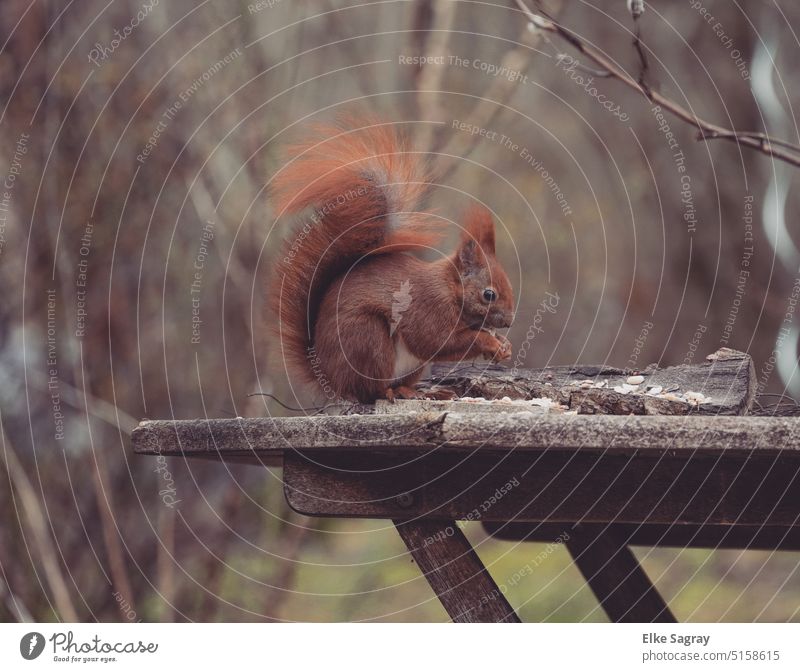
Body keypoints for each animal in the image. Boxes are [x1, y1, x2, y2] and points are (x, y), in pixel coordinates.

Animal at [268, 117, 516, 402]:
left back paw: (416, 391)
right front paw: (491, 342)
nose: (509, 323)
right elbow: (435, 340)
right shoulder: (427, 307)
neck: (450, 288)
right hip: (368, 338)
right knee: (369, 390)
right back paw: (389, 391)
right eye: (489, 294)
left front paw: (505, 346)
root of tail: (331, 379)